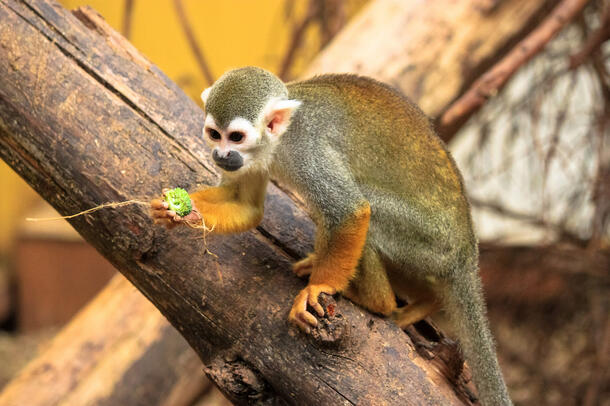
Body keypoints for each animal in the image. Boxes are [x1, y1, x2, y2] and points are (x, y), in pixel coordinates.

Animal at [151, 67, 508, 406]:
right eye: (215, 134)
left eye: (236, 137)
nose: (221, 155)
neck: (278, 142)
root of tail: (467, 251)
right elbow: (246, 207)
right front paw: (178, 209)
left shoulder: (309, 154)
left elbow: (351, 210)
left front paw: (319, 288)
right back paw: (424, 299)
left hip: (430, 240)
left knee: (364, 210)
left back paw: (375, 301)